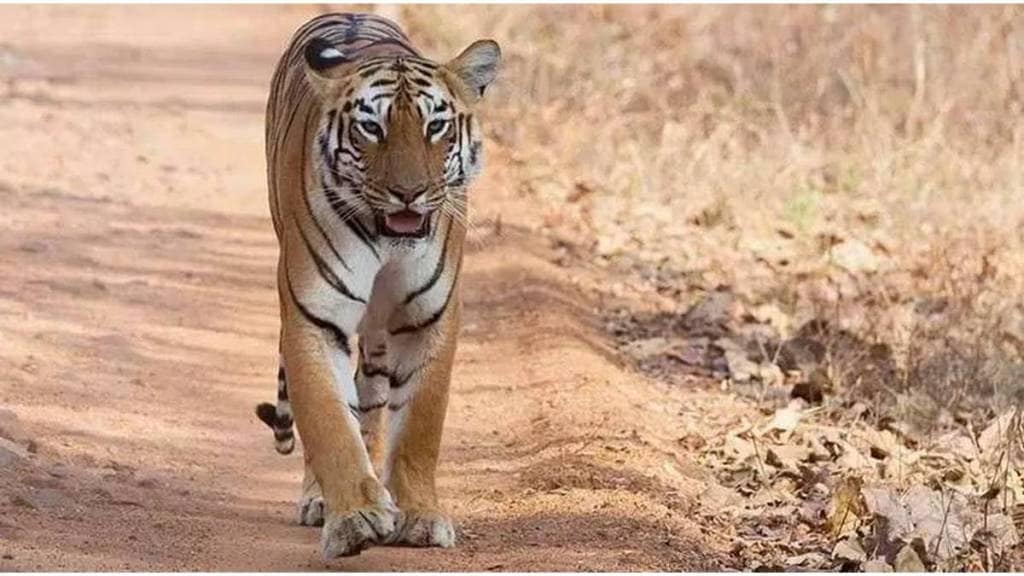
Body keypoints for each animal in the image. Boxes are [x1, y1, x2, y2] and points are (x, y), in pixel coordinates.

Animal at [253, 12, 500, 558]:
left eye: (435, 126)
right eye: (372, 127)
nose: (409, 193)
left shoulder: (429, 318)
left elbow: (419, 427)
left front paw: (420, 516)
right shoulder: (313, 317)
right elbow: (328, 420)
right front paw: (354, 518)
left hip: (379, 334)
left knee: (370, 396)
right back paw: (320, 499)